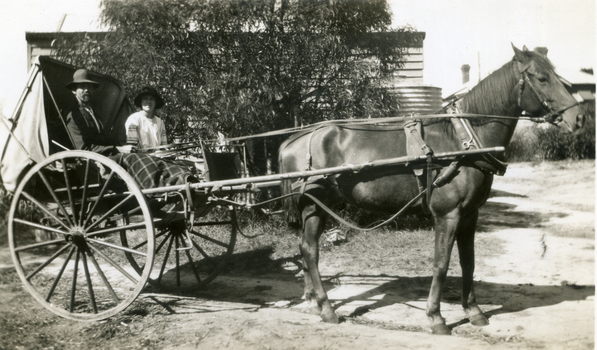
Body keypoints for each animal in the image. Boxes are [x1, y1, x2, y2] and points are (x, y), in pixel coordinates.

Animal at [278, 45, 584, 334]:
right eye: (542, 78)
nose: (579, 118)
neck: (463, 141)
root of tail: (294, 139)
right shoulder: (447, 215)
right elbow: (441, 264)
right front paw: (436, 318)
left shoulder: (470, 215)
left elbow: (468, 263)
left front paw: (474, 312)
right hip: (314, 205)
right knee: (310, 250)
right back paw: (327, 309)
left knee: (305, 247)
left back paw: (313, 301)